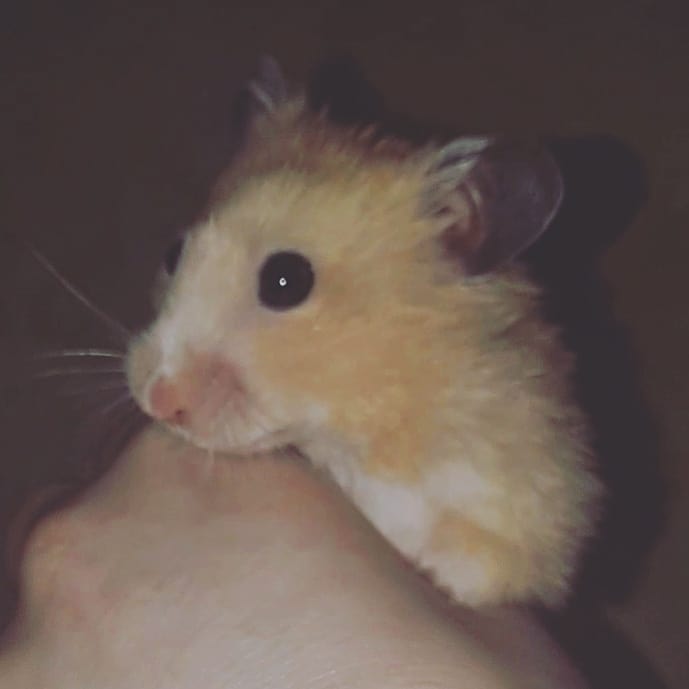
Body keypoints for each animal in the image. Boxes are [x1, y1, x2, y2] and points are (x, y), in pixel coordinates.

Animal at [126, 57, 603, 608]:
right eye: (173, 253)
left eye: (286, 280)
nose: (158, 399)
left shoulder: (539, 502)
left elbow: (494, 560)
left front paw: (436, 569)